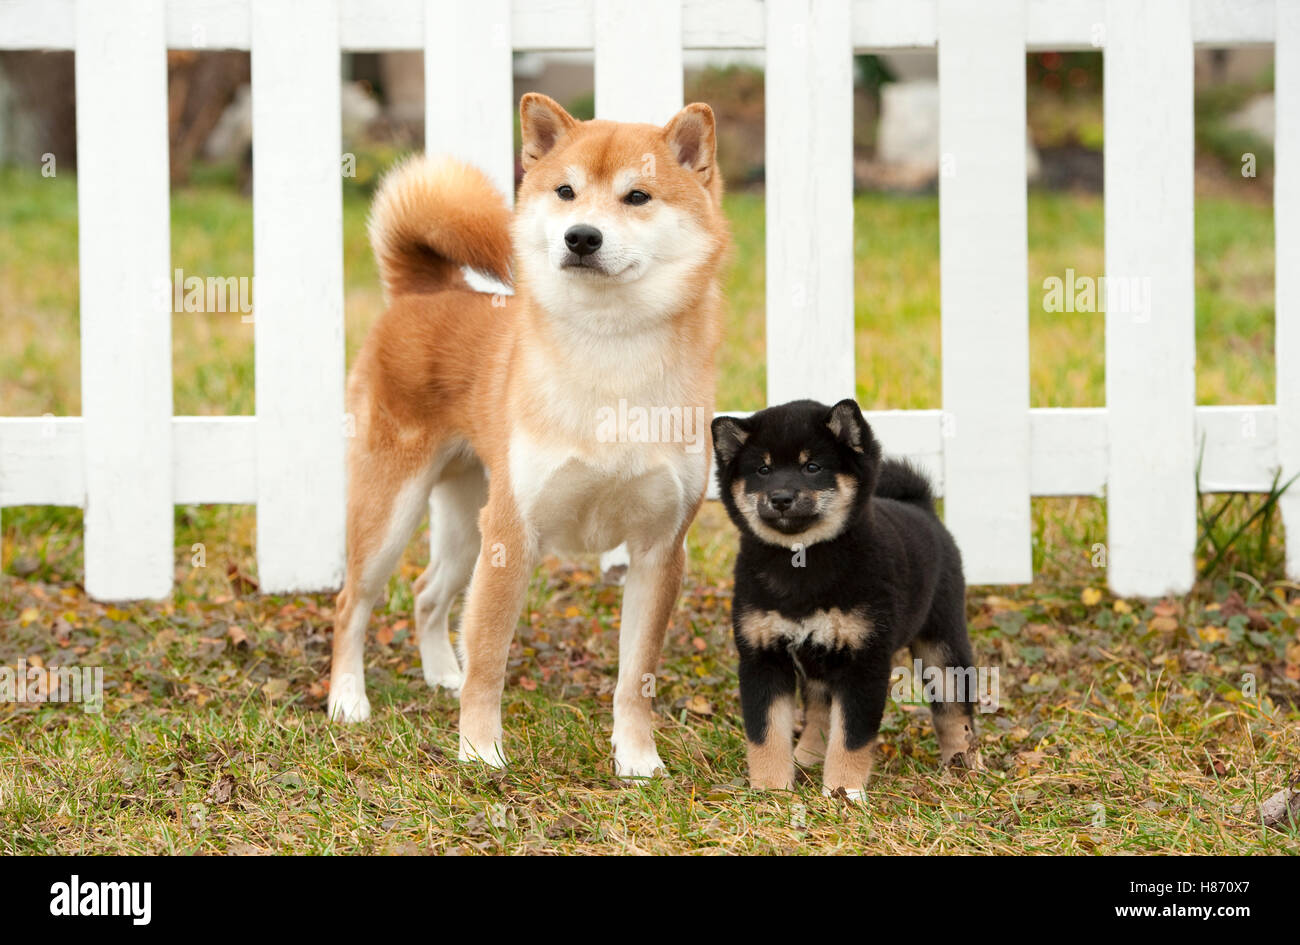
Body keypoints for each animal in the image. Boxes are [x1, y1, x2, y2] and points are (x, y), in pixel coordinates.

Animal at [327, 92, 733, 779]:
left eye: (638, 196)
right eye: (566, 191)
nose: (581, 236)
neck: (609, 354)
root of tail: (424, 291)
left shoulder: (658, 548)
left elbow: (636, 676)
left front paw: (637, 760)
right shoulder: (512, 535)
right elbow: (491, 657)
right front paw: (479, 751)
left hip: (467, 519)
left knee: (427, 593)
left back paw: (441, 673)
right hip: (394, 512)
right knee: (352, 603)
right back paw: (347, 700)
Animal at [712, 397, 982, 800]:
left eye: (812, 467)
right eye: (763, 469)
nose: (780, 498)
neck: (801, 564)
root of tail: (921, 507)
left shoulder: (863, 661)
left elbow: (851, 737)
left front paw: (844, 792)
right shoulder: (762, 656)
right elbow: (766, 734)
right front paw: (771, 791)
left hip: (941, 641)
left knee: (954, 707)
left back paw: (964, 764)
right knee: (819, 709)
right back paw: (807, 756)